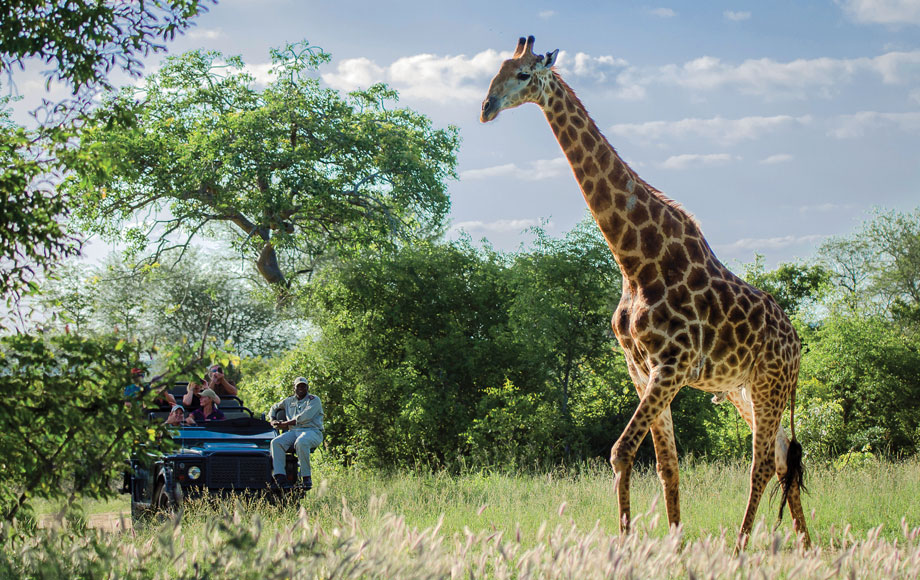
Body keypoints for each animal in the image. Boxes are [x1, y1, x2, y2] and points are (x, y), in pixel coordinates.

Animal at [482, 36, 812, 548]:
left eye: (522, 75)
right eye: (494, 71)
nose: (486, 107)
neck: (636, 261)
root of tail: (797, 343)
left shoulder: (672, 366)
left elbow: (621, 452)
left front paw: (628, 542)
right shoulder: (640, 368)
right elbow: (665, 466)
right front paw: (670, 543)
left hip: (769, 382)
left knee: (760, 464)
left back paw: (742, 547)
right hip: (742, 389)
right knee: (782, 460)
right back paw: (805, 547)